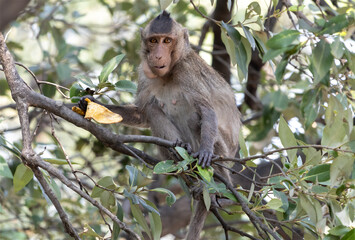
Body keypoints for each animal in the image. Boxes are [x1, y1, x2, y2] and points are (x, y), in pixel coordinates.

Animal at [78, 11, 242, 240]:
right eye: (154, 41)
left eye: (167, 41)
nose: (157, 56)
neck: (170, 72)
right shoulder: (144, 71)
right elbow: (143, 113)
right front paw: (90, 105)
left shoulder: (188, 72)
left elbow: (206, 110)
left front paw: (206, 151)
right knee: (154, 109)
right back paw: (179, 152)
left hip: (226, 153)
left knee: (196, 119)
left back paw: (214, 187)